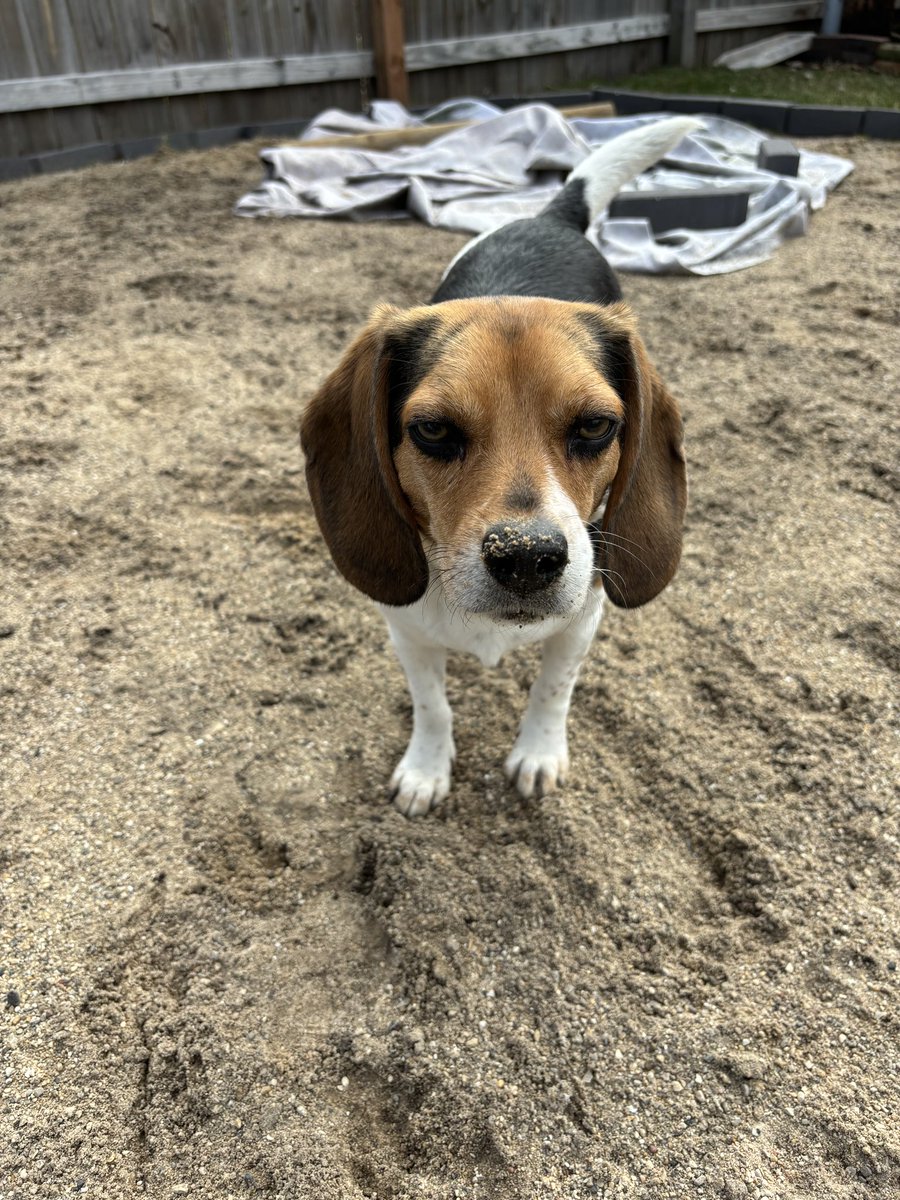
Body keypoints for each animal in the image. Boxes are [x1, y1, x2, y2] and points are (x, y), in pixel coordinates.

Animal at [300, 114, 700, 816]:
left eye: (595, 425)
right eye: (432, 430)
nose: (526, 558)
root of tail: (548, 216)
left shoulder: (581, 622)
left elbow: (552, 690)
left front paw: (538, 753)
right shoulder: (406, 631)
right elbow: (432, 707)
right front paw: (427, 769)